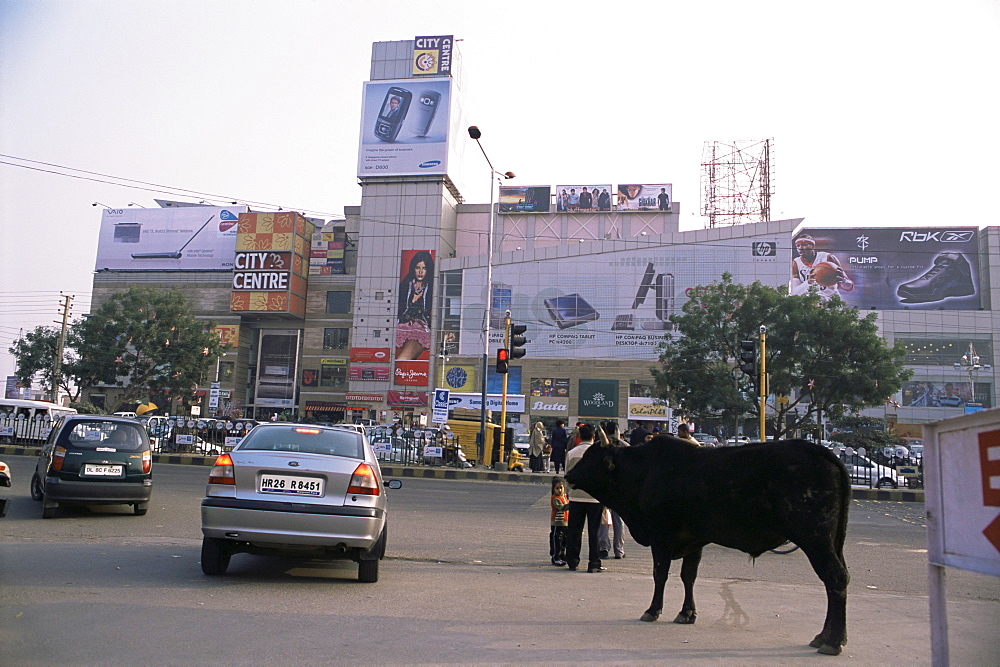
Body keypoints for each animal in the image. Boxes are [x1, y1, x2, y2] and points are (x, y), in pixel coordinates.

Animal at [568, 438, 848, 656]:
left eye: (591, 456)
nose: (569, 475)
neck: (643, 472)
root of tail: (819, 451)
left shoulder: (661, 536)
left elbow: (661, 575)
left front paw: (653, 610)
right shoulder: (695, 540)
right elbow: (688, 576)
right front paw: (687, 613)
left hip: (815, 538)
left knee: (835, 578)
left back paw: (832, 642)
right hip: (833, 542)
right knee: (835, 581)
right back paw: (826, 636)